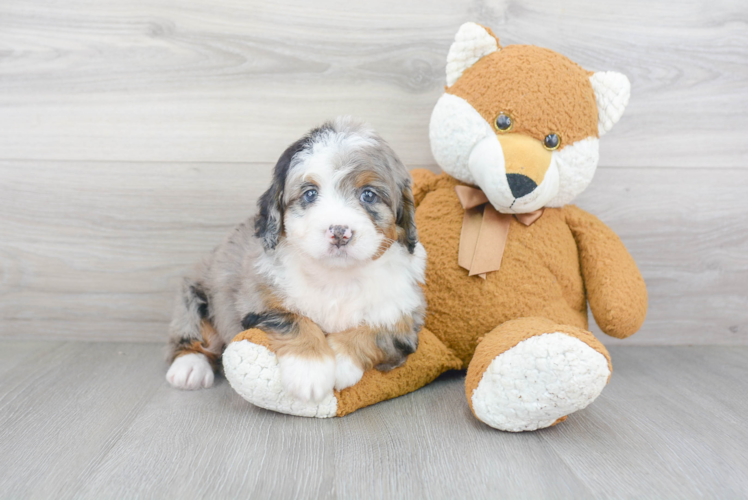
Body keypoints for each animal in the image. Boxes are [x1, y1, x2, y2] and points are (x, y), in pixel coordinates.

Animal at [168, 117, 426, 402]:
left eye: (368, 195)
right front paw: (310, 370)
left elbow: (375, 331)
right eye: (310, 194)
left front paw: (340, 361)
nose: (339, 232)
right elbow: (294, 320)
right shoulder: (257, 302)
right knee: (193, 331)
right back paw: (189, 367)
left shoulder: (404, 315)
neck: (337, 276)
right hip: (195, 292)